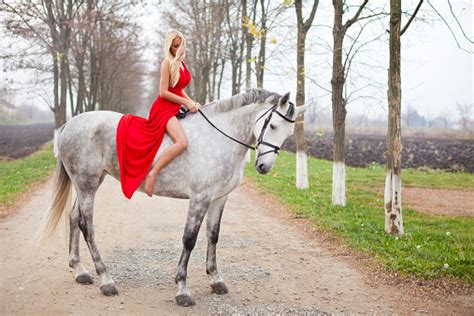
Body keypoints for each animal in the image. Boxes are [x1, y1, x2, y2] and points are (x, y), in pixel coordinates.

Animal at [40, 89, 308, 306]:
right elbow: (189, 240)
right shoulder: (200, 198)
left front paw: (216, 280)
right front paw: (182, 290)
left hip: (86, 184)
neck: (220, 138)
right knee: (86, 225)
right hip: (87, 184)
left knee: (73, 218)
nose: (264, 166)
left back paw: (80, 270)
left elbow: (213, 236)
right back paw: (106, 280)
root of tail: (71, 123)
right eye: (272, 126)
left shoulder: (219, 198)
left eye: (289, 133)